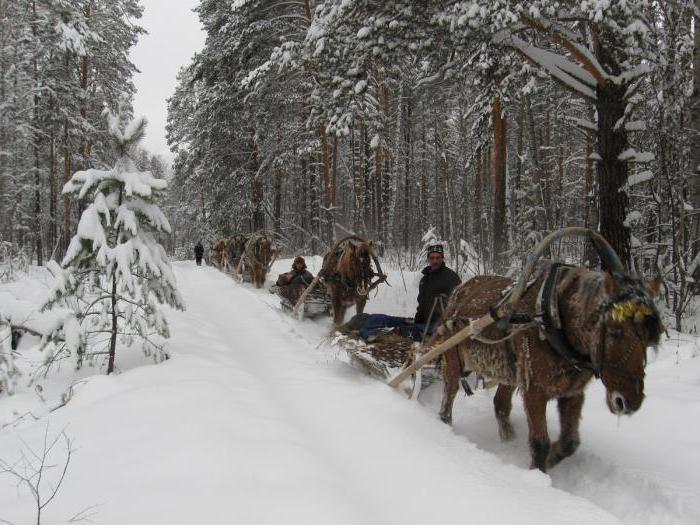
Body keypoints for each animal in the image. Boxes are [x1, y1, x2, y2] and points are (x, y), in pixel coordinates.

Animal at [438, 256, 660, 472]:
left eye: (648, 339)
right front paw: (537, 472)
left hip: (508, 371)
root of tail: (460, 290)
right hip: (452, 357)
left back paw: (508, 438)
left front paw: (551, 459)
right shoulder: (534, 391)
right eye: (615, 332)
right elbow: (540, 444)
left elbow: (570, 442)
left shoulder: (573, 393)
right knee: (449, 395)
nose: (630, 402)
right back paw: (445, 424)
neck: (553, 321)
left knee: (500, 405)